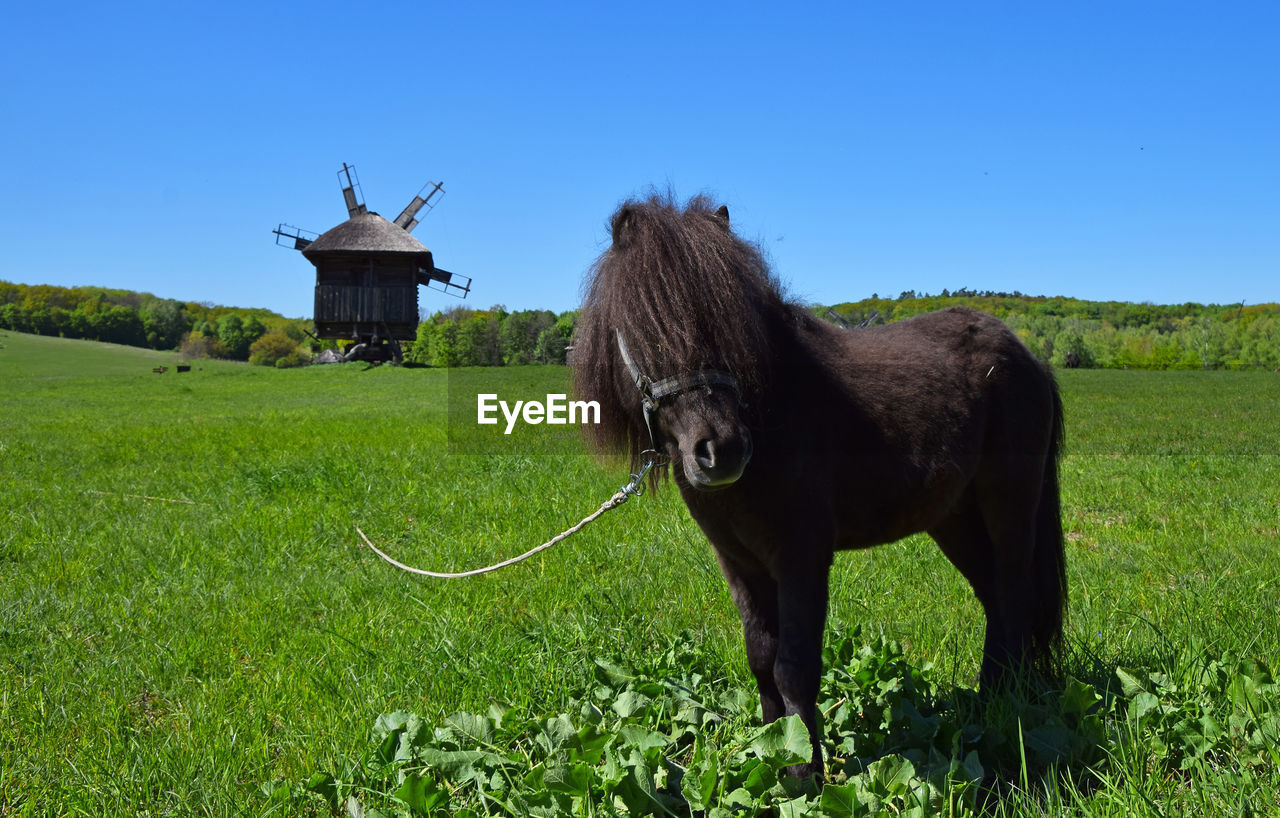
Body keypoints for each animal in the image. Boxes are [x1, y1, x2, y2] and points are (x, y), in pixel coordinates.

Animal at [576, 193, 1064, 778]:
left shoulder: (802, 556)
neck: (774, 415)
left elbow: (794, 668)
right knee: (993, 594)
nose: (722, 451)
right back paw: (986, 701)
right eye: (647, 327)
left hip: (1008, 502)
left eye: (733, 322)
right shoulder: (739, 563)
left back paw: (1007, 709)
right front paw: (770, 758)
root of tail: (1029, 357)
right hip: (955, 517)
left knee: (1014, 593)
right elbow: (761, 659)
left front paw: (805, 774)